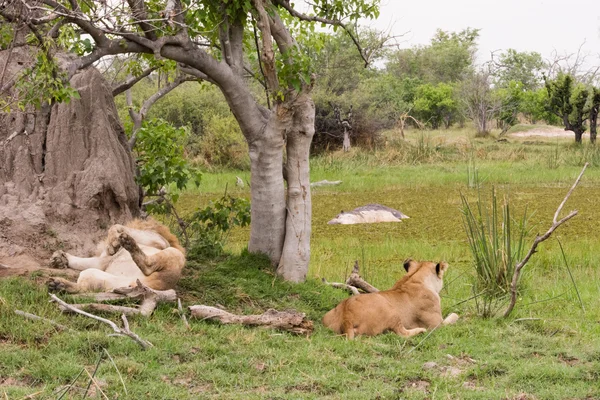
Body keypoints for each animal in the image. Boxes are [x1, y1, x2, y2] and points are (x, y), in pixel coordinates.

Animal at [47, 219, 185, 294]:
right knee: (85, 288)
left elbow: (117, 225)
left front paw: (114, 242)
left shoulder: (159, 241)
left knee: (148, 265)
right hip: (103, 279)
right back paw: (58, 284)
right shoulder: (102, 262)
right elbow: (81, 262)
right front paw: (59, 258)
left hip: (176, 254)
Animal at [324, 260, 460, 338]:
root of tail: (346, 317)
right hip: (391, 310)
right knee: (401, 333)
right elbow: (454, 315)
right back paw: (420, 331)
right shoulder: (437, 325)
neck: (414, 278)